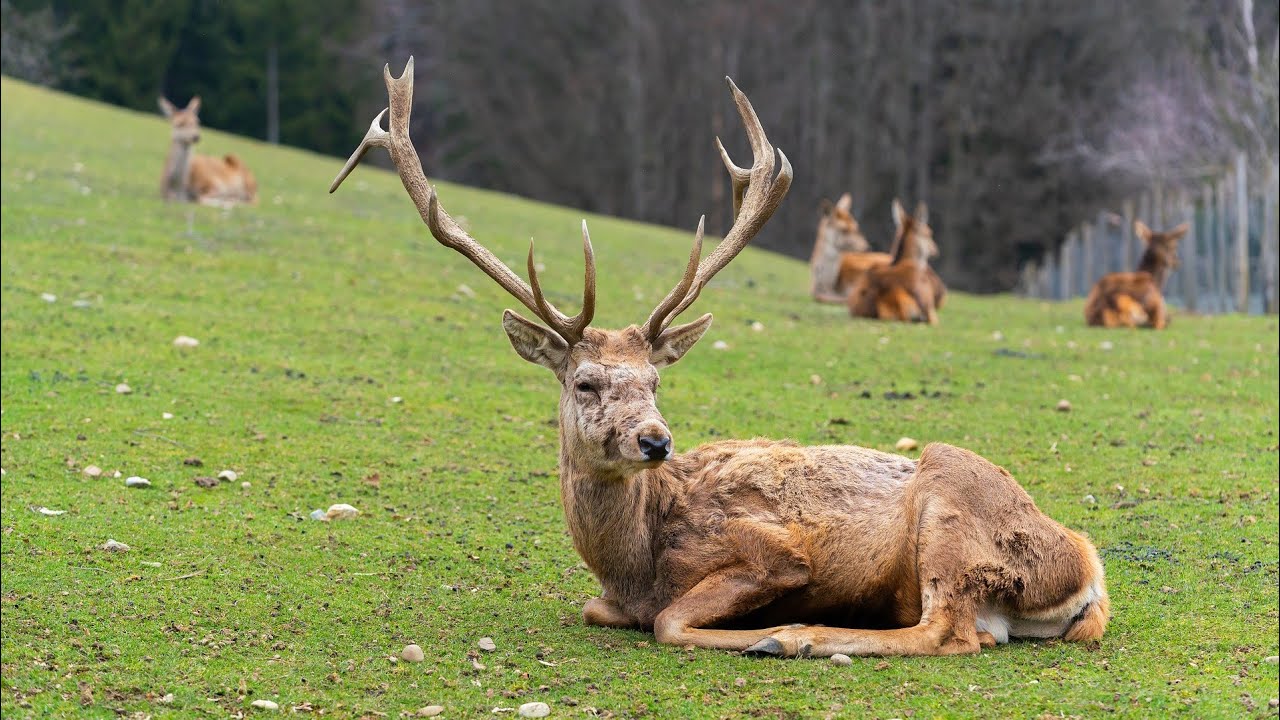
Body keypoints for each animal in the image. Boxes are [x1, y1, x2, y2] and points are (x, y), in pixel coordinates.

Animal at [330, 58, 1109, 658]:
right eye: (585, 382)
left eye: (655, 379)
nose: (654, 440)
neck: (635, 561)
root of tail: (1088, 569)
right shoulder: (610, 596)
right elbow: (597, 608)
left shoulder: (774, 551)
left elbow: (671, 620)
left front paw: (764, 629)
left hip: (950, 505)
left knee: (947, 631)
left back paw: (797, 637)